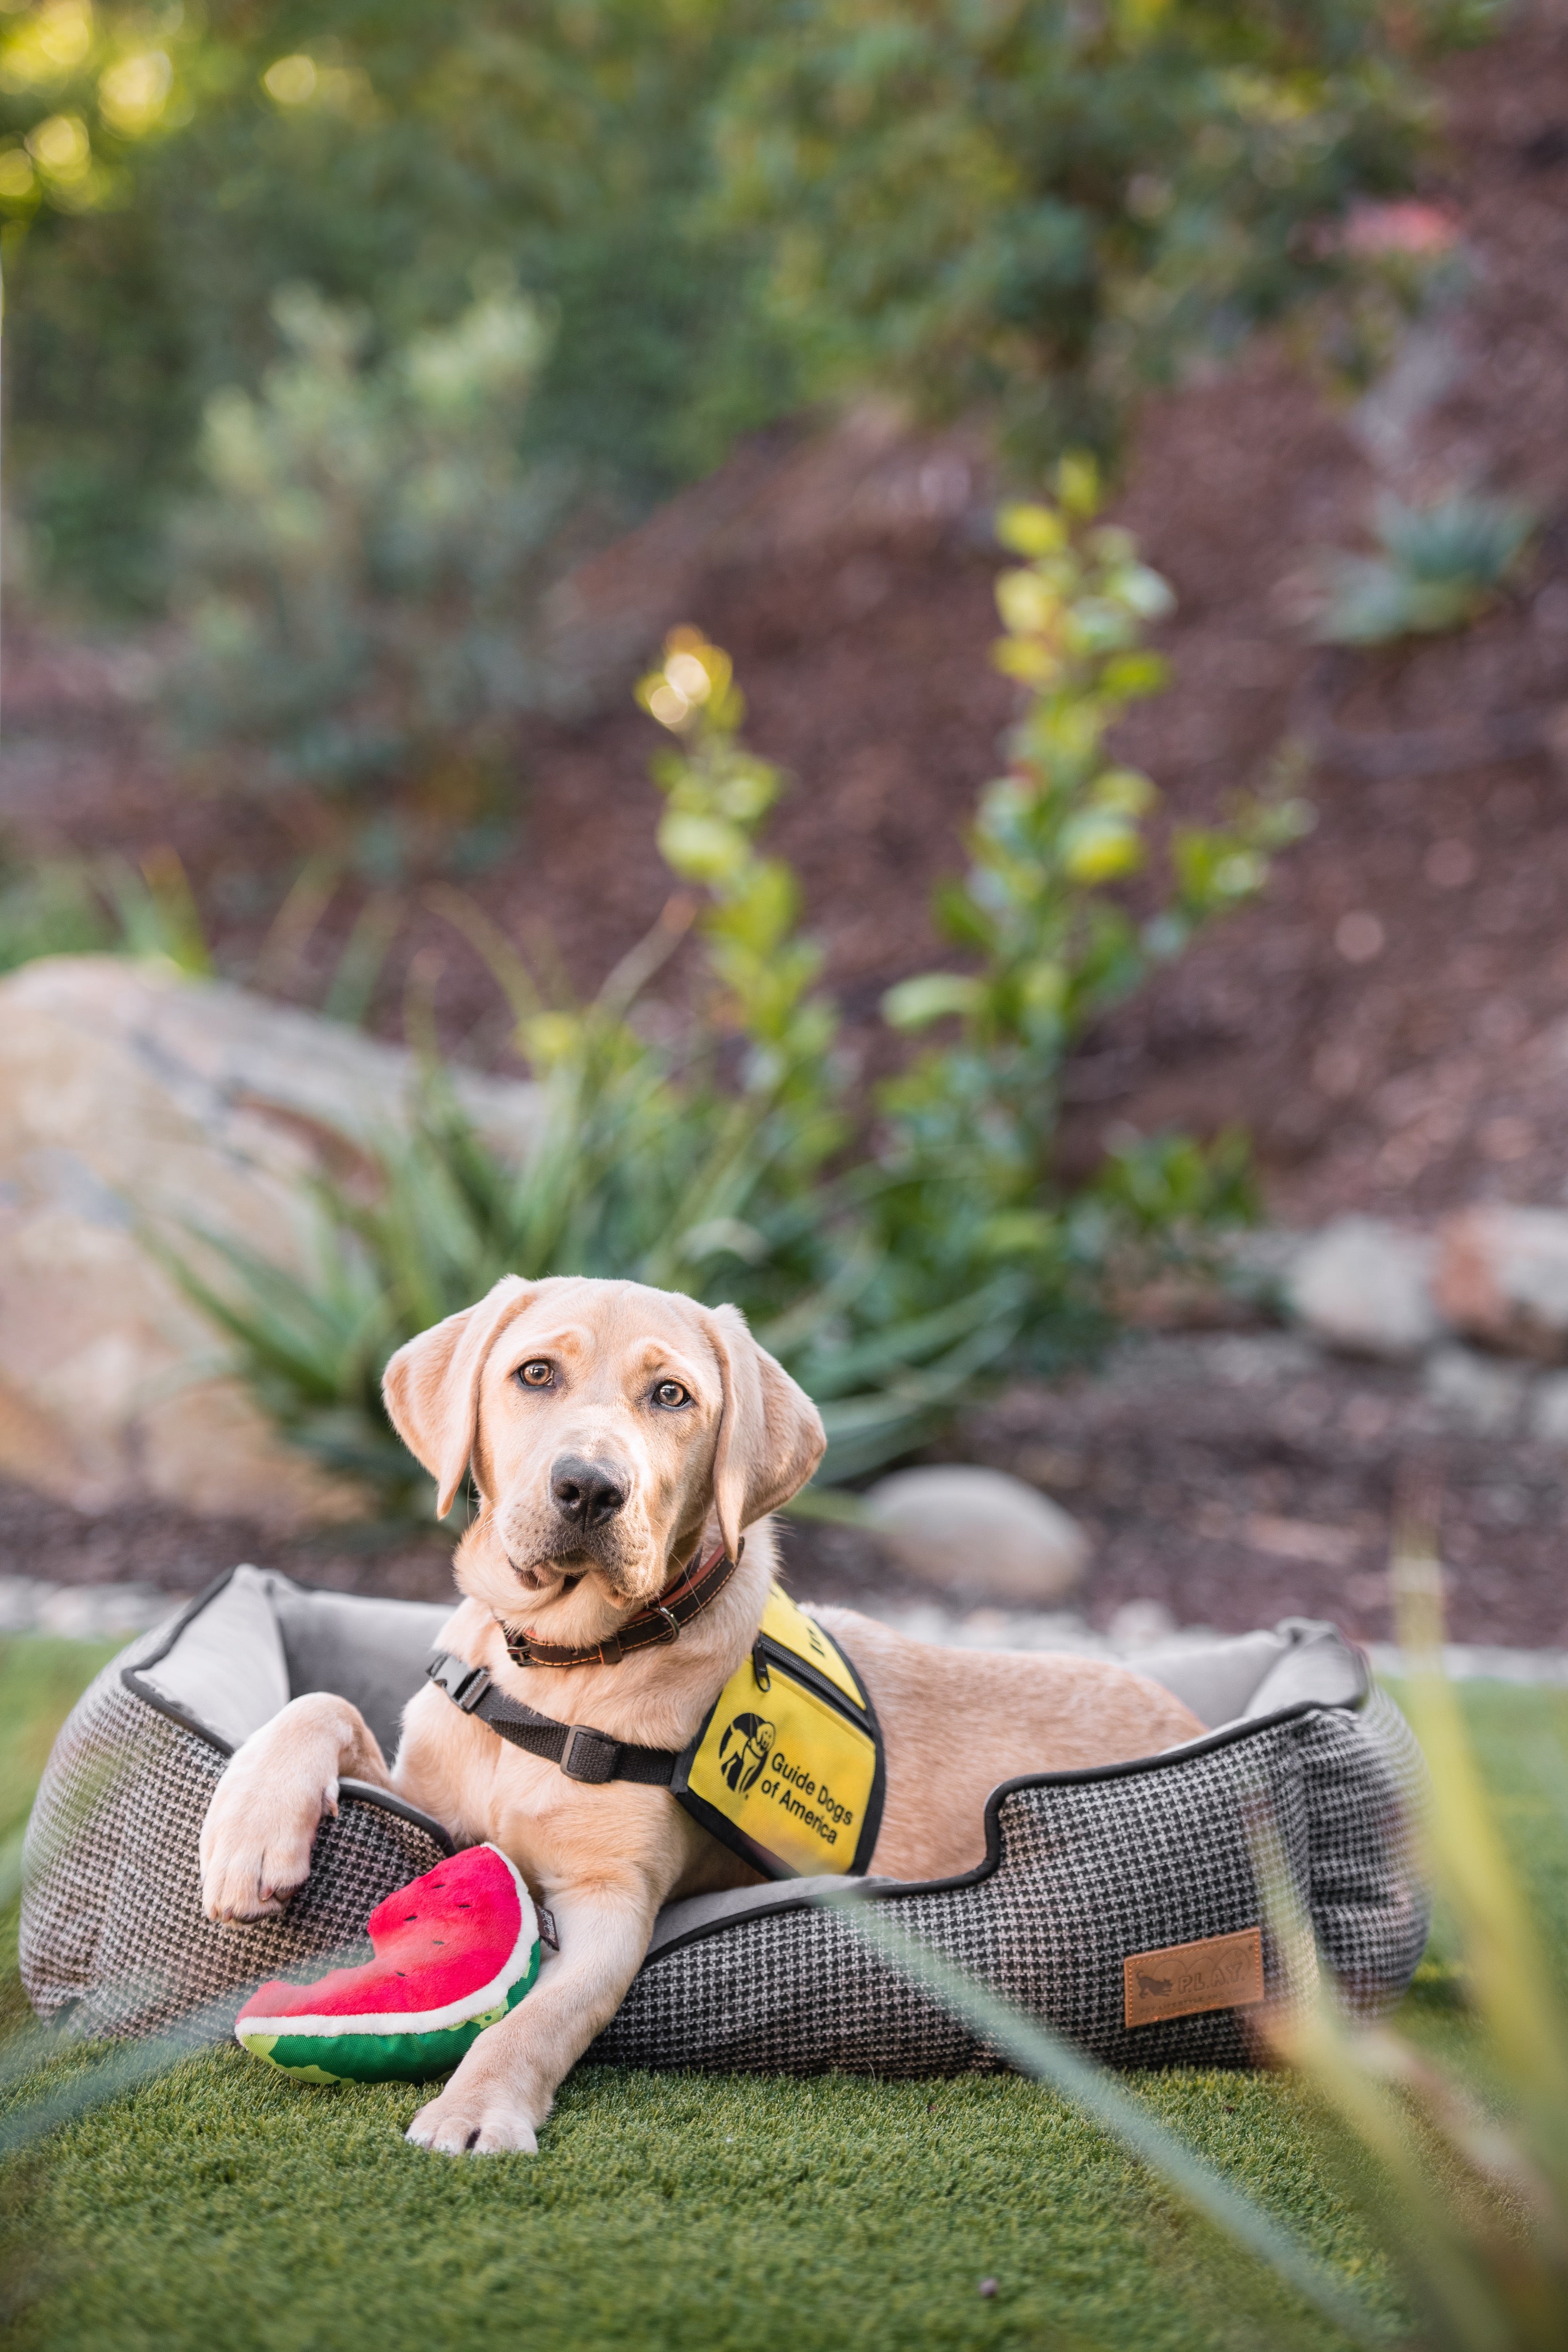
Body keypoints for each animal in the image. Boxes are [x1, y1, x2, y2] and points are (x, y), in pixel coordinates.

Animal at [196, 1279, 1203, 2154]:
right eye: (535, 1374)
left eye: (671, 1395)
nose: (589, 1488)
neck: (563, 1669)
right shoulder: (426, 1791)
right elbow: (320, 1703)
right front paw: (249, 1832)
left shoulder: (614, 1904)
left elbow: (538, 2017)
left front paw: (477, 2107)